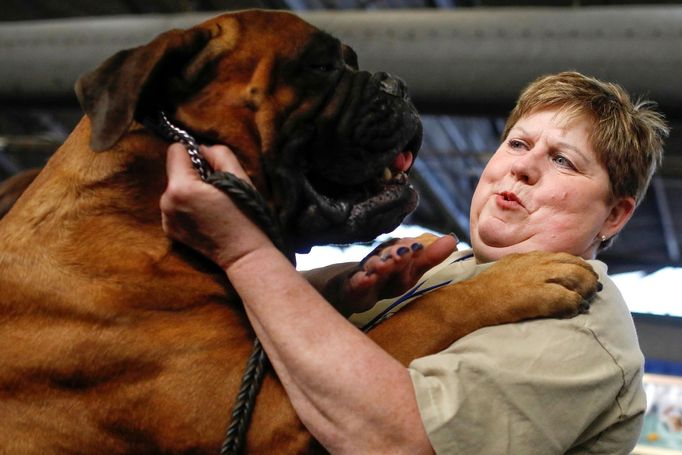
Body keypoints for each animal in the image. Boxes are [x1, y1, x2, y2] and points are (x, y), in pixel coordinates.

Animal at [0, 8, 596, 454]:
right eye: (321, 66)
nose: (397, 83)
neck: (143, 206)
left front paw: (385, 266)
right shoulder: (267, 415)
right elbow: (424, 314)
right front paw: (523, 277)